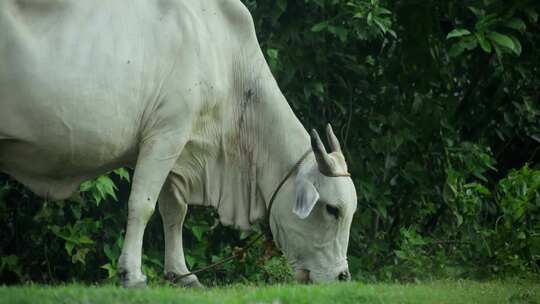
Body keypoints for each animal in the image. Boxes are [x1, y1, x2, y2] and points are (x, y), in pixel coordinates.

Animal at [1, 0, 358, 288]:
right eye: (332, 209)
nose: (343, 276)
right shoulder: (165, 134)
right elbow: (142, 205)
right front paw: (132, 274)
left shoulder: (181, 150)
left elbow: (174, 213)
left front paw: (182, 274)